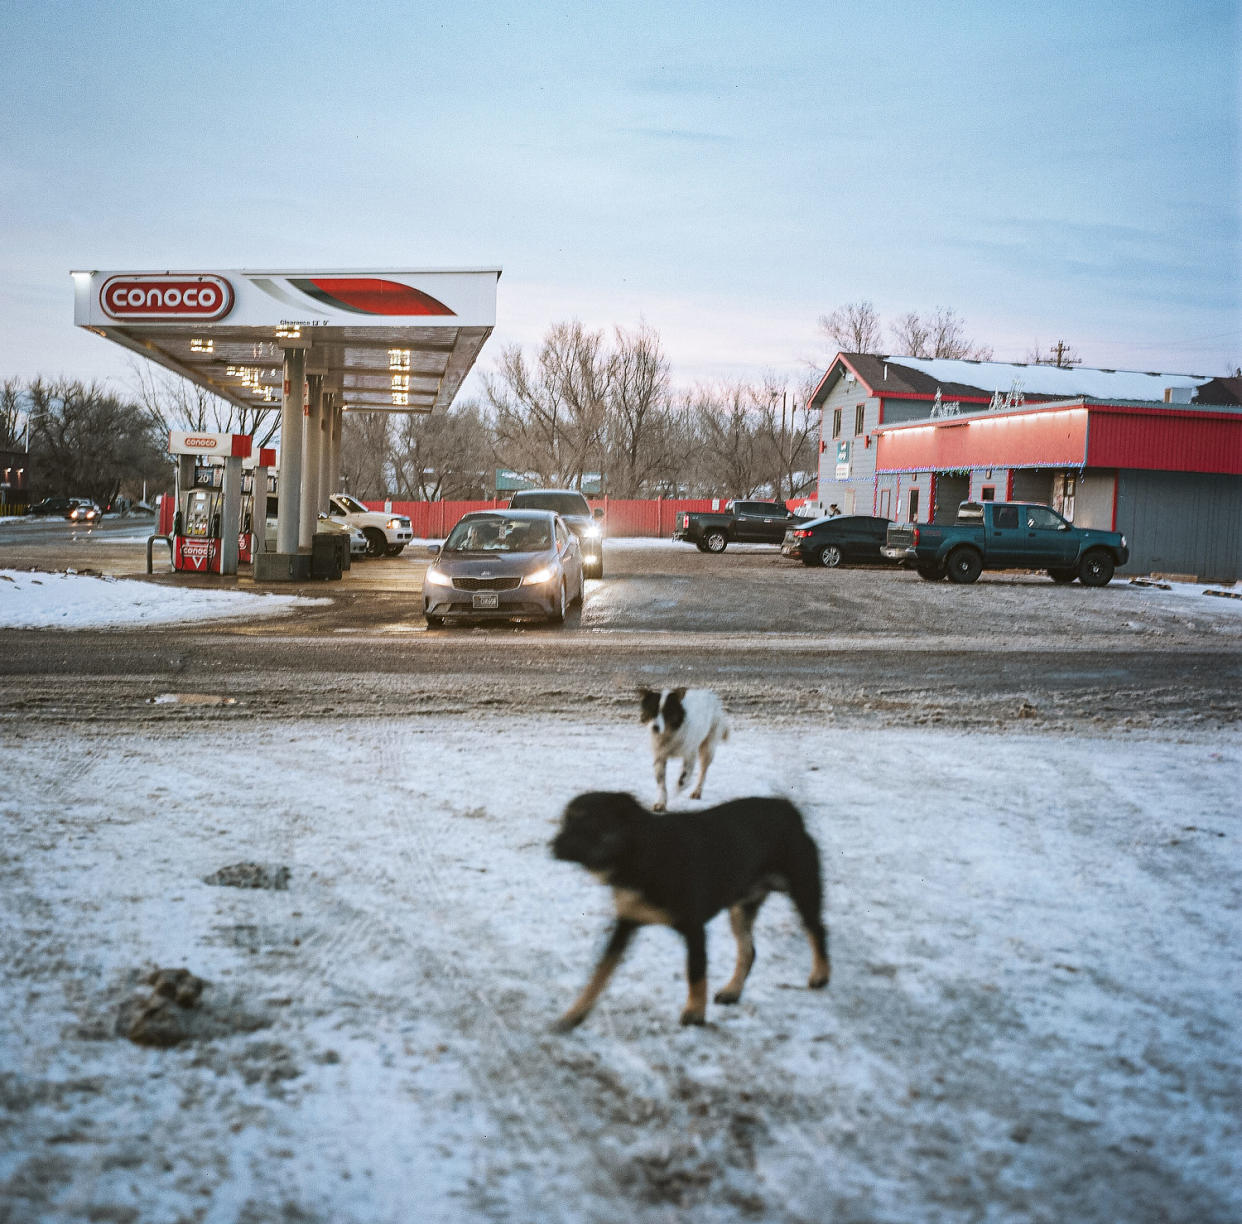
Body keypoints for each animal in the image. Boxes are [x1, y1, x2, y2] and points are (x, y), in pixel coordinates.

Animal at [548, 789, 829, 1027]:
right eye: (565, 821)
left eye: (588, 822)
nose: (553, 846)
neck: (639, 854)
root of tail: (788, 807)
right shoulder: (626, 922)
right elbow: (600, 972)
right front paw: (576, 1012)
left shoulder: (694, 927)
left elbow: (695, 972)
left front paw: (694, 1012)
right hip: (741, 907)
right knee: (748, 950)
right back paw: (732, 991)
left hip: (803, 888)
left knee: (817, 929)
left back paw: (821, 975)